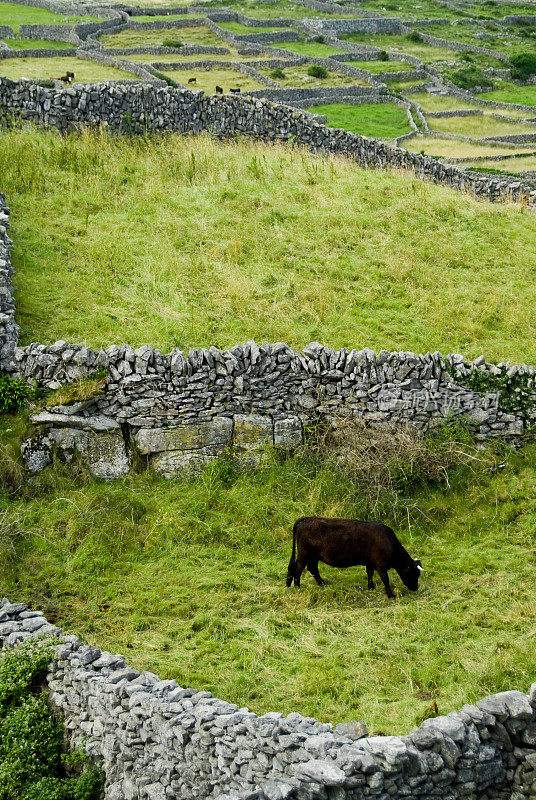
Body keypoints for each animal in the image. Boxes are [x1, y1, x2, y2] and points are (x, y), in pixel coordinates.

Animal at [286, 516, 420, 596]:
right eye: (413, 573)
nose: (415, 588)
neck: (389, 542)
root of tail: (307, 518)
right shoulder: (380, 565)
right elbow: (385, 580)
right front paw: (390, 595)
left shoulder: (370, 562)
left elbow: (370, 574)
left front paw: (371, 587)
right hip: (304, 554)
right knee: (297, 568)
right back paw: (298, 586)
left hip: (314, 556)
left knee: (312, 568)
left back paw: (322, 583)